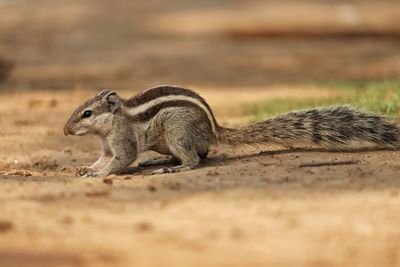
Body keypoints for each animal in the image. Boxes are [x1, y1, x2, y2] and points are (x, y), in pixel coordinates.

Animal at [63, 86, 400, 178]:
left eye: (87, 114)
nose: (66, 130)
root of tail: (213, 130)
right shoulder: (106, 145)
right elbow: (102, 159)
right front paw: (85, 168)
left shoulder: (121, 140)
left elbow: (120, 160)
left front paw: (97, 174)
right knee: (200, 153)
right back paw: (159, 162)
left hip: (176, 130)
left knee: (196, 159)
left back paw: (173, 168)